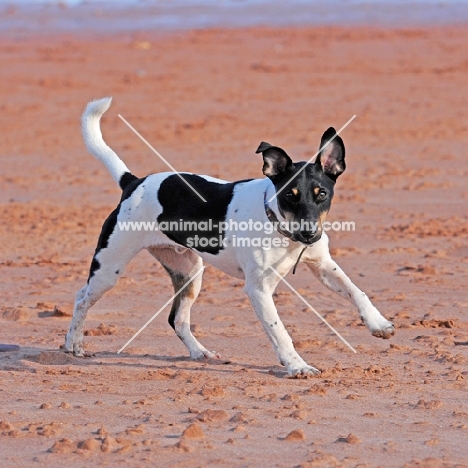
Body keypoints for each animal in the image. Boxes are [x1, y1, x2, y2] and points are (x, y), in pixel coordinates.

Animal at [64, 98, 394, 376]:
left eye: (321, 193)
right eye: (289, 195)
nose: (309, 234)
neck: (280, 228)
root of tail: (133, 183)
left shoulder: (323, 265)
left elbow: (356, 291)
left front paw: (378, 323)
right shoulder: (259, 289)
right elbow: (280, 331)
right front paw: (297, 366)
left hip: (190, 273)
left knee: (177, 319)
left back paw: (200, 352)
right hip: (109, 268)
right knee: (81, 297)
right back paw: (73, 344)